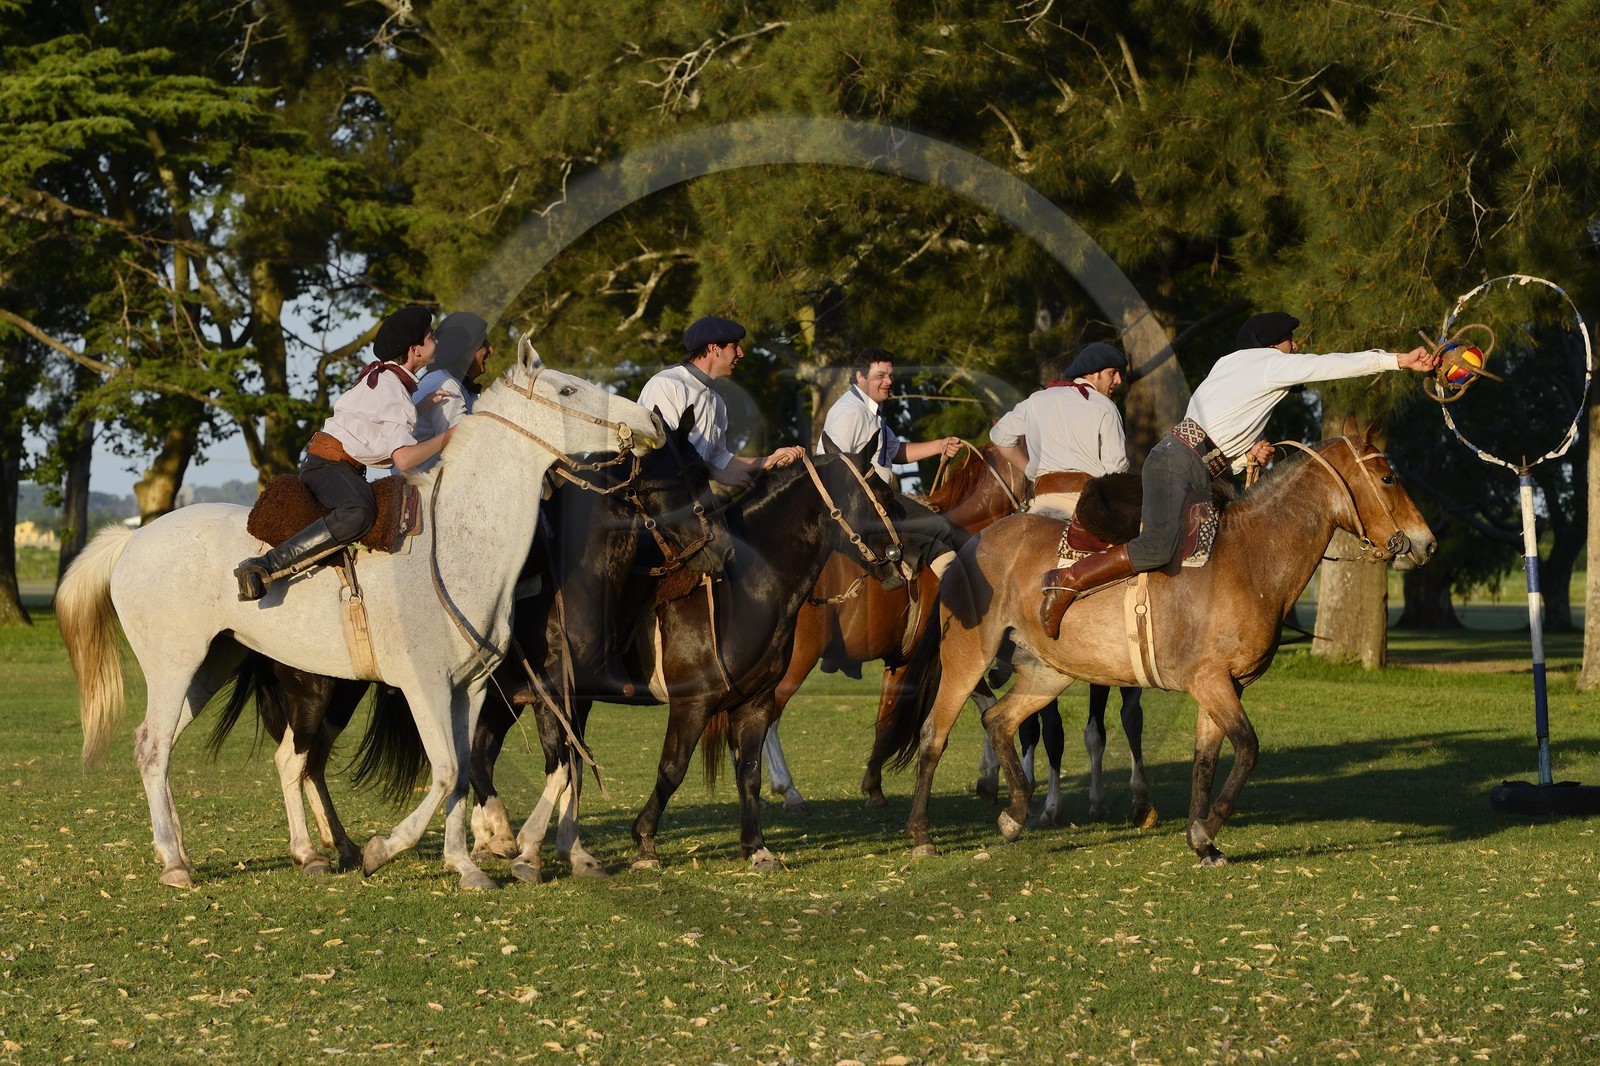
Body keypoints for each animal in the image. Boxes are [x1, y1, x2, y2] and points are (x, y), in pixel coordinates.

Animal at [55, 344, 663, 889]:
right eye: (568, 390)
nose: (649, 420)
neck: (458, 543)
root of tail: (133, 539)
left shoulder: (470, 689)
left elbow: (463, 773)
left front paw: (464, 865)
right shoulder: (426, 686)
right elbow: (447, 770)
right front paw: (382, 851)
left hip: (213, 665)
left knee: (200, 749)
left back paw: (249, 852)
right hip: (177, 666)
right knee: (159, 747)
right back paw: (179, 864)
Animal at [203, 412, 730, 880]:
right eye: (680, 478)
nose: (719, 551)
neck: (573, 573)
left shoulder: (565, 697)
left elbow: (562, 765)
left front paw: (568, 853)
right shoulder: (543, 693)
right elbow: (549, 766)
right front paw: (516, 845)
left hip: (343, 693)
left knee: (311, 761)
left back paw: (344, 846)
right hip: (317, 689)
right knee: (297, 759)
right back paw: (318, 852)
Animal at [764, 441, 1149, 827]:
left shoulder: (902, 661)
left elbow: (887, 718)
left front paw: (874, 783)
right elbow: (980, 705)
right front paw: (991, 777)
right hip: (797, 661)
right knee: (769, 716)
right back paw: (788, 789)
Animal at [886, 419, 1435, 865]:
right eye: (1388, 478)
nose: (1425, 542)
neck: (1249, 558)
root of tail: (971, 545)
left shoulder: (1224, 685)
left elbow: (1206, 760)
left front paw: (1203, 840)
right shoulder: (1210, 681)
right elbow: (1248, 749)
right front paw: (1207, 828)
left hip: (1047, 673)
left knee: (999, 720)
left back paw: (1013, 815)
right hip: (968, 660)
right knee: (936, 735)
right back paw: (922, 835)